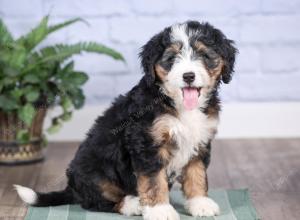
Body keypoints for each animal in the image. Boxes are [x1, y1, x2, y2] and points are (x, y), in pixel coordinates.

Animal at [15, 20, 237, 220]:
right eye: (171, 58)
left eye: (204, 55)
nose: (188, 76)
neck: (176, 103)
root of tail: (72, 188)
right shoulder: (146, 142)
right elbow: (154, 181)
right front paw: (160, 210)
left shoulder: (199, 139)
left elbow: (196, 173)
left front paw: (200, 203)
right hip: (95, 173)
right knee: (97, 202)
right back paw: (133, 204)